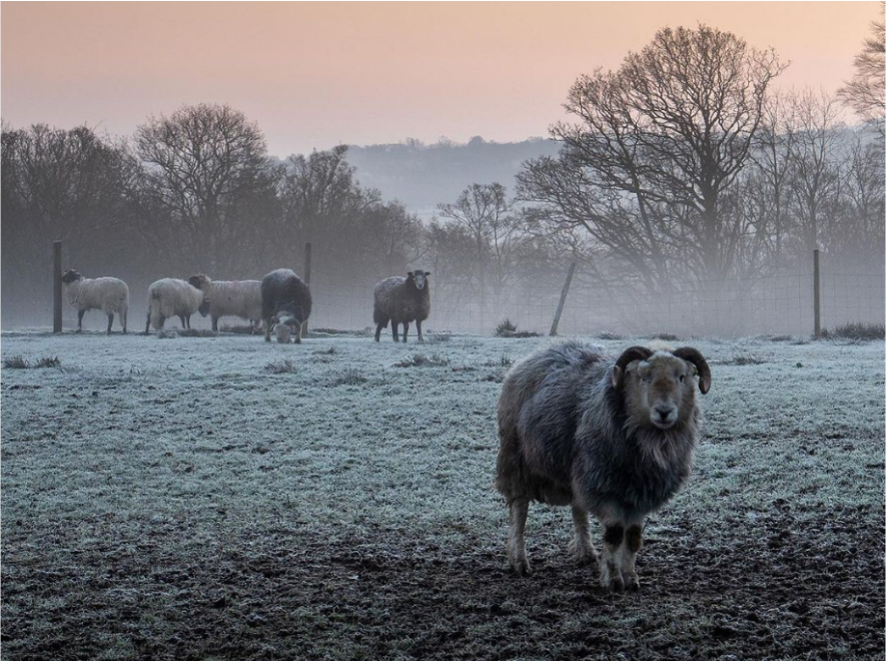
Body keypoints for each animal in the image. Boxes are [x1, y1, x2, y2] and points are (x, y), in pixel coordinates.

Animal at [496, 340, 712, 588]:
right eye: (644, 377)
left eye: (682, 377)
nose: (664, 412)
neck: (652, 442)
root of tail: (540, 352)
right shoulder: (603, 487)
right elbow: (615, 535)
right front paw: (614, 580)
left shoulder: (638, 495)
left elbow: (634, 538)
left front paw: (631, 578)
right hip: (517, 460)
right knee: (519, 511)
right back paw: (519, 561)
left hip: (576, 469)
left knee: (578, 507)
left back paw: (585, 553)